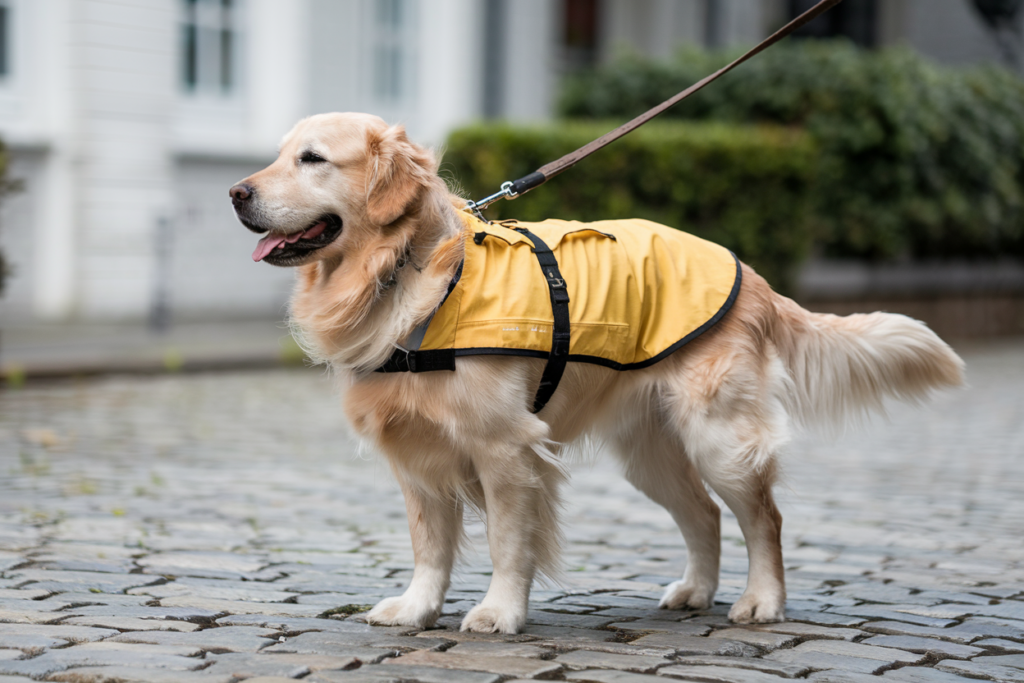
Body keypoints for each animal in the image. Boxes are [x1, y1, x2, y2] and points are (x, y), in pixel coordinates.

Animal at [228, 113, 962, 634]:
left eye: (313, 159)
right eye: (279, 153)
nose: (236, 192)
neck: (405, 274)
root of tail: (751, 275)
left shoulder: (505, 448)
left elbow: (507, 540)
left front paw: (499, 613)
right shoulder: (417, 453)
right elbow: (429, 545)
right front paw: (416, 608)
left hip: (719, 437)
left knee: (764, 519)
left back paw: (761, 600)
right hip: (649, 453)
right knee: (704, 514)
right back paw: (696, 591)